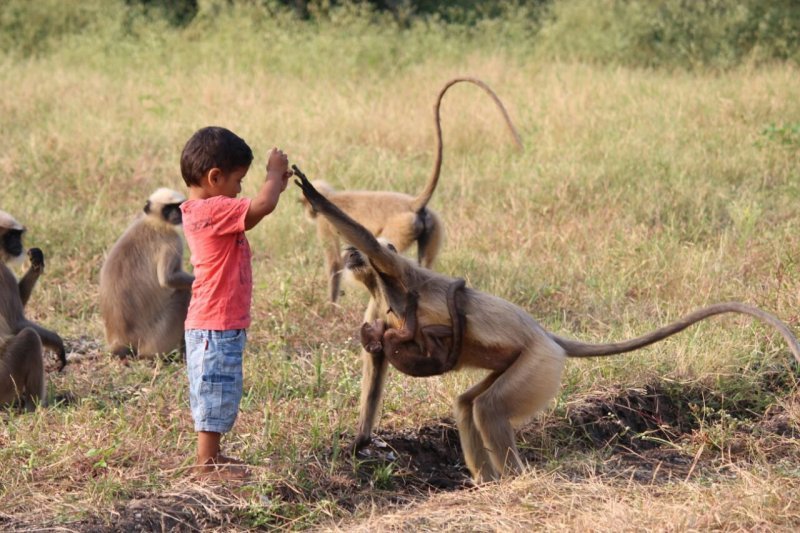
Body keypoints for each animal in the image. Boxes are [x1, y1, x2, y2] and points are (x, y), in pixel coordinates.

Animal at [0, 210, 65, 410]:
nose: (19, 244)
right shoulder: (2, 273)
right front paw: (58, 343)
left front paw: (37, 263)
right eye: (11, 236)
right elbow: (17, 323)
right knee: (30, 337)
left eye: (18, 235)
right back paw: (36, 407)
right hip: (4, 377)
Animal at [99, 187, 195, 358]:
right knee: (183, 294)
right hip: (154, 339)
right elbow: (167, 279)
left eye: (177, 207)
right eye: (167, 209)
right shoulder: (172, 241)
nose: (176, 214)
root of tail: (120, 340)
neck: (153, 222)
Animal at [296, 169, 800, 482]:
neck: (385, 294)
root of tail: (546, 336)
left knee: (489, 409)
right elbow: (376, 364)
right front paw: (361, 441)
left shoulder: (395, 273)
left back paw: (513, 481)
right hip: (529, 365)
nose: (350, 257)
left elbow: (368, 243)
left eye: (361, 249)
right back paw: (488, 482)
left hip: (539, 363)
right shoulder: (376, 306)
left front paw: (312, 193)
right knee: (468, 404)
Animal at [300, 76, 524, 302]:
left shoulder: (324, 224)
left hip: (401, 226)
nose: (308, 212)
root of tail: (412, 204)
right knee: (424, 266)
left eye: (303, 204)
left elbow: (335, 264)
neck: (332, 196)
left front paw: (331, 304)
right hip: (432, 225)